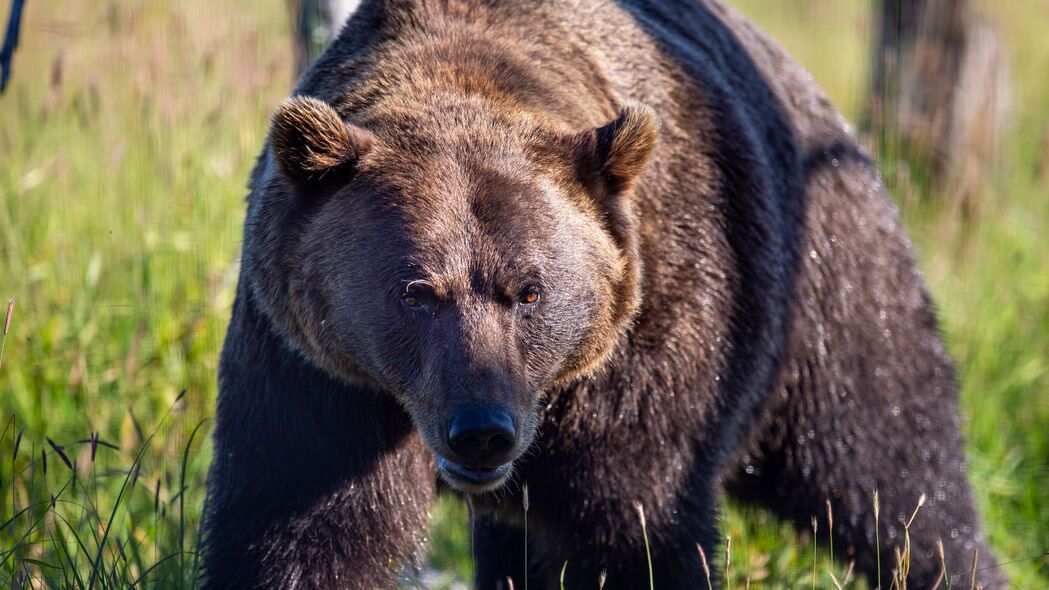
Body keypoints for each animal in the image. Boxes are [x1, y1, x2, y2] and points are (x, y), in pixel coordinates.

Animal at [202, 1, 998, 587]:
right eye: (416, 291)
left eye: (528, 291)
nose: (481, 429)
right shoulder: (320, 371)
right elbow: (305, 527)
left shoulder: (645, 352)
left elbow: (627, 529)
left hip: (826, 291)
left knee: (890, 466)